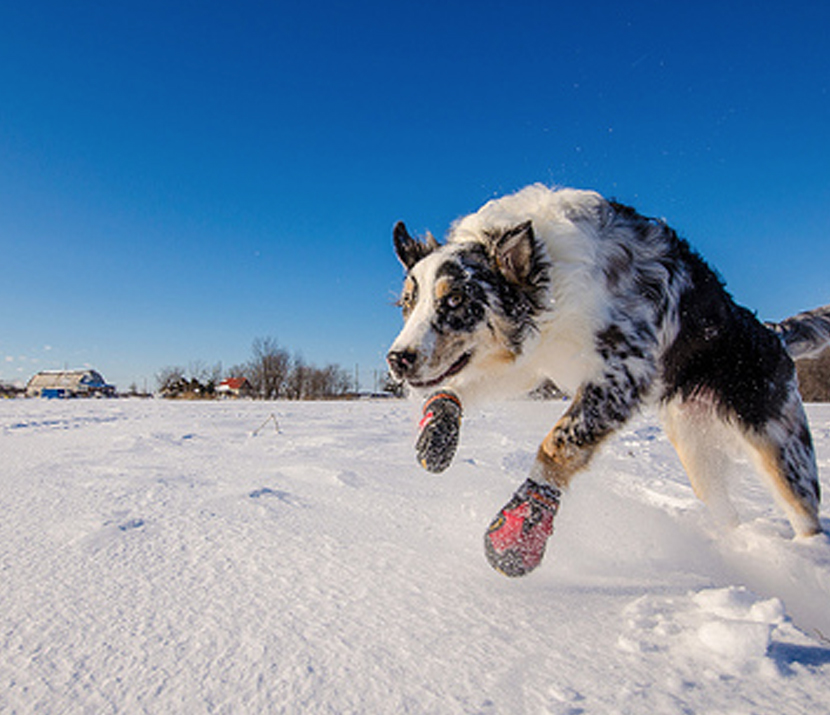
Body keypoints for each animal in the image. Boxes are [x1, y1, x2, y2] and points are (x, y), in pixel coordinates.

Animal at [390, 185, 830, 576]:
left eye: (455, 300)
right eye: (408, 303)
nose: (397, 359)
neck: (552, 284)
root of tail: (771, 332)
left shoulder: (624, 372)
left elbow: (558, 443)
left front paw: (520, 532)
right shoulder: (531, 366)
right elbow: (454, 387)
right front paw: (437, 436)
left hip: (782, 450)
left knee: (806, 516)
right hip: (696, 451)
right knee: (727, 511)